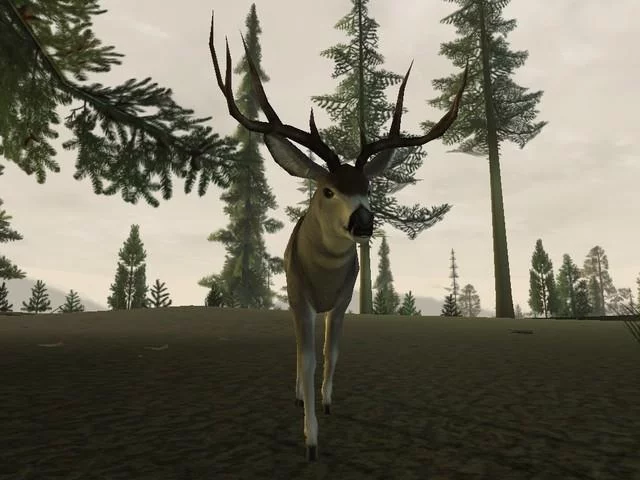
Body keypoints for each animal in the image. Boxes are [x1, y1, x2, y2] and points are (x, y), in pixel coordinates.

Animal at [208, 12, 467, 461]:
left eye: (369, 187)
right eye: (328, 190)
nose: (364, 221)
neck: (326, 273)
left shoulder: (344, 298)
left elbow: (332, 353)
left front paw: (327, 403)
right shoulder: (300, 295)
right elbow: (309, 357)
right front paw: (310, 438)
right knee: (299, 348)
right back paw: (298, 394)